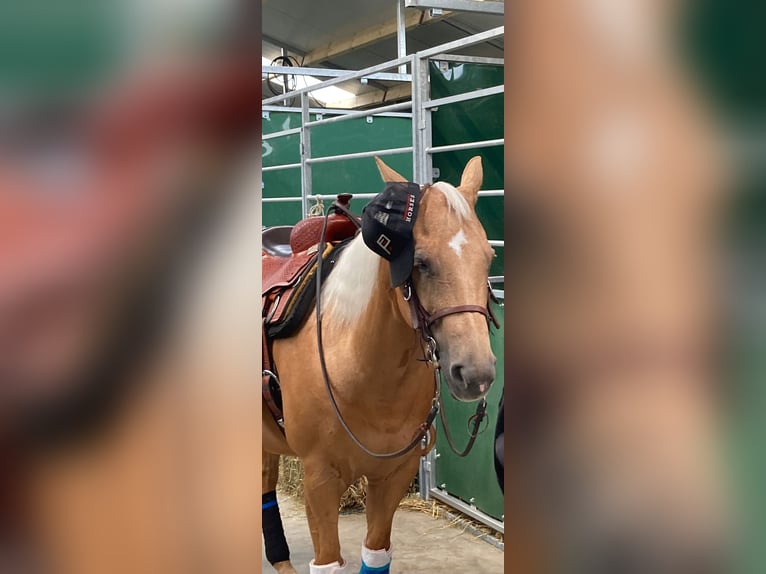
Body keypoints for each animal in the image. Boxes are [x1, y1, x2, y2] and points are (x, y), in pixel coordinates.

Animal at [261, 156, 498, 573]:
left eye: (488, 258)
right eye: (420, 262)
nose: (476, 374)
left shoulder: (393, 475)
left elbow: (375, 553)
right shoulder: (319, 480)